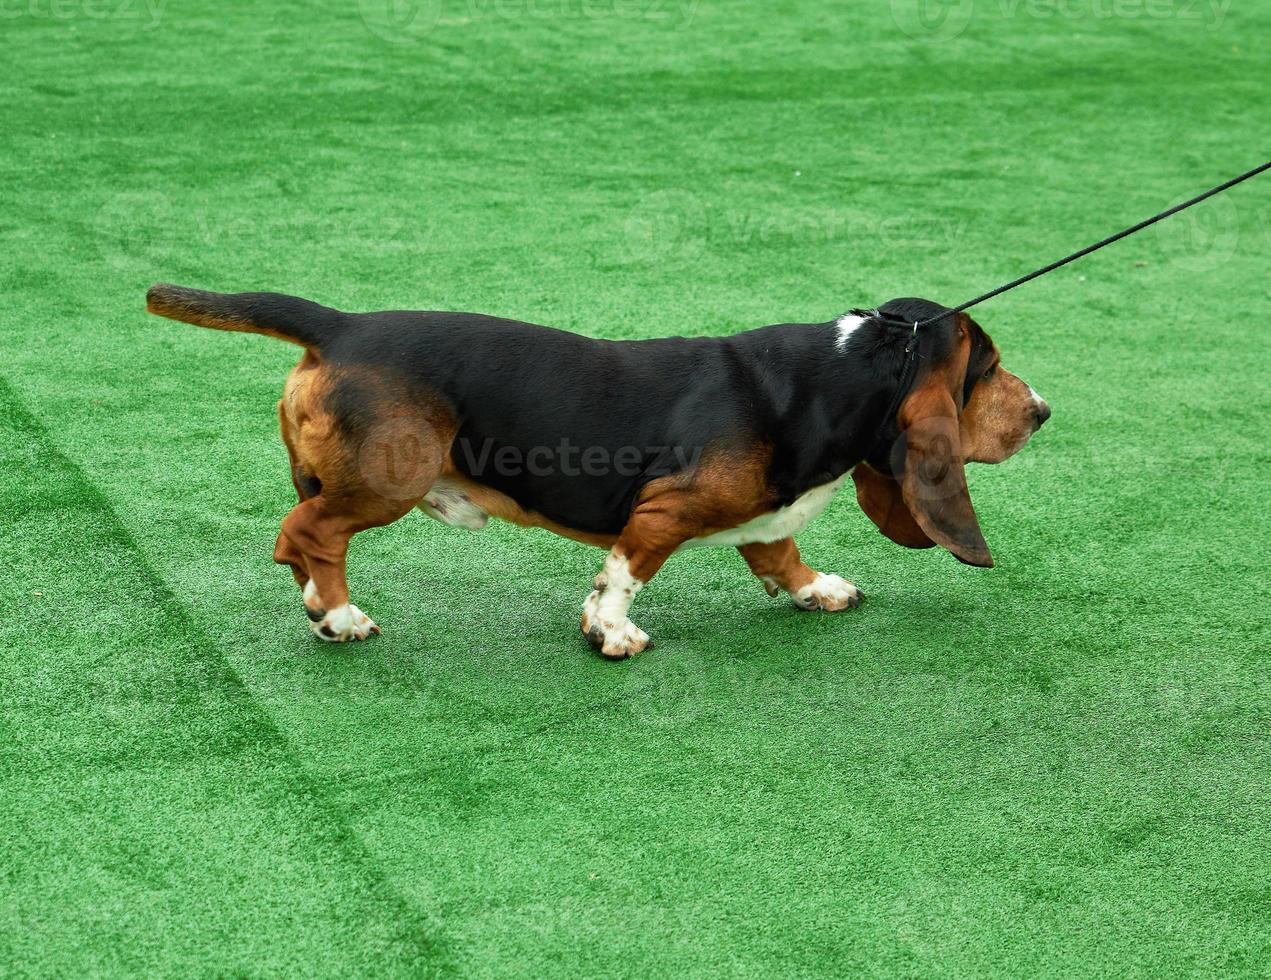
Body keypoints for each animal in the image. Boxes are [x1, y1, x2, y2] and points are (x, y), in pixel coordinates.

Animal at [146, 285, 1052, 660]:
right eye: (986, 370)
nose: (1043, 409)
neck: (835, 374)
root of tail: (340, 325)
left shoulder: (761, 518)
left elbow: (779, 556)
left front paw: (819, 590)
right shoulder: (662, 514)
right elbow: (623, 574)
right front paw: (610, 633)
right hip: (385, 485)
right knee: (305, 534)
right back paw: (338, 617)